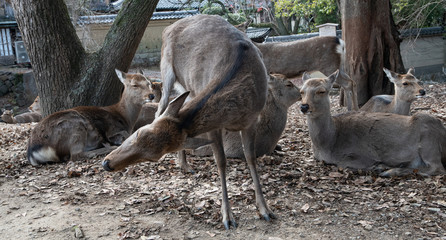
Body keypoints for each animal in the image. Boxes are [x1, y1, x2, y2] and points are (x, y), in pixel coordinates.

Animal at [27, 69, 157, 166]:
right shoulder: (113, 129)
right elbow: (124, 135)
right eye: (135, 85)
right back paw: (108, 147)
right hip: (75, 126)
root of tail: (33, 151)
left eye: (148, 83)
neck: (125, 117)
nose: (151, 95)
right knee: (76, 155)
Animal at [102, 14, 274, 229]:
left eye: (153, 157)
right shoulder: (214, 126)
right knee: (160, 109)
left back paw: (184, 164)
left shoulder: (252, 120)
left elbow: (251, 158)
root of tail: (171, 26)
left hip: (187, 87)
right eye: (138, 132)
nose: (107, 163)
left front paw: (265, 209)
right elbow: (221, 161)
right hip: (166, 69)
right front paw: (227, 216)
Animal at [300, 71, 446, 176]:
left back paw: (390, 171)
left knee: (437, 168)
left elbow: (342, 164)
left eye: (321, 91)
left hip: (429, 141)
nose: (304, 106)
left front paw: (378, 166)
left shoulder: (363, 154)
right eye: (301, 91)